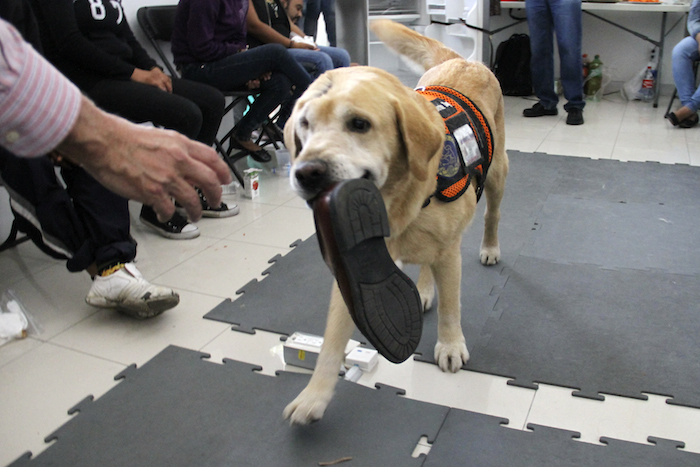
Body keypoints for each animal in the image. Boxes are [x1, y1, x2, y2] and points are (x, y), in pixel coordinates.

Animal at [284, 20, 508, 426]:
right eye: (305, 124)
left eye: (359, 124)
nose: (306, 172)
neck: (394, 205)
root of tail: (464, 60)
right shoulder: (350, 274)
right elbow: (332, 340)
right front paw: (314, 396)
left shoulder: (449, 253)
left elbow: (452, 307)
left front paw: (450, 345)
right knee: (424, 264)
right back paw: (422, 290)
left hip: (498, 176)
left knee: (492, 215)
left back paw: (489, 247)